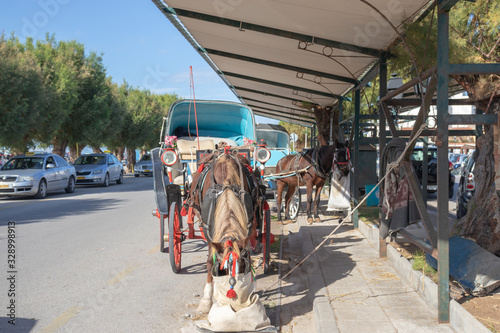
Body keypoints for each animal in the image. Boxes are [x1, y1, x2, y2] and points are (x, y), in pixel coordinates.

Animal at [186, 152, 260, 312]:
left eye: (243, 269)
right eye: (221, 270)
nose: (233, 295)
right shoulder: (208, 232)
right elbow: (209, 261)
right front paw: (206, 300)